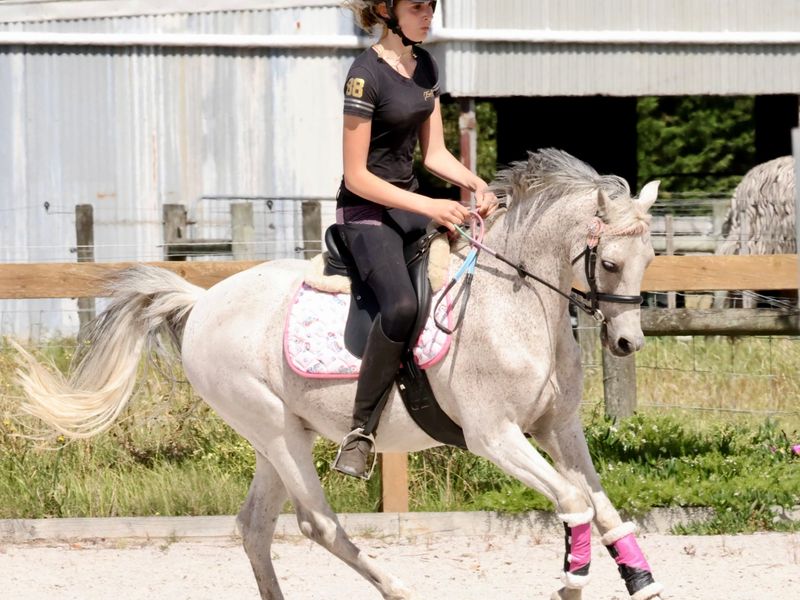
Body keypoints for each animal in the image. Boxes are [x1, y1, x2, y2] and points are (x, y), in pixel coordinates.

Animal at [14, 149, 663, 600]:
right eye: (609, 262)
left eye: (650, 258)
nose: (627, 342)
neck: (516, 304)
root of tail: (201, 303)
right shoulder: (495, 436)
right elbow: (575, 499)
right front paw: (572, 579)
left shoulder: (558, 427)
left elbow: (602, 504)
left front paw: (641, 580)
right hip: (276, 431)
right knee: (317, 523)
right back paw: (401, 589)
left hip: (275, 439)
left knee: (255, 526)